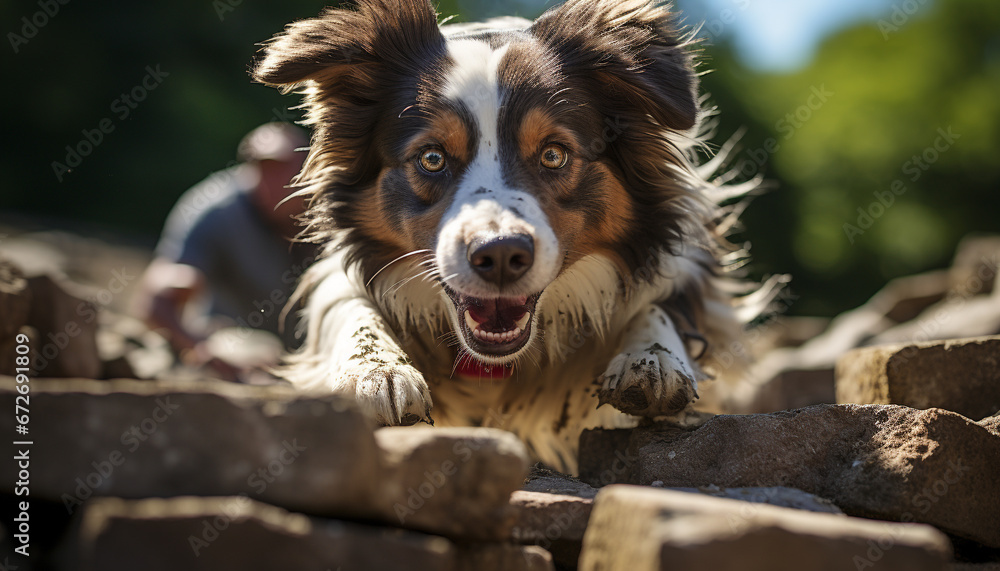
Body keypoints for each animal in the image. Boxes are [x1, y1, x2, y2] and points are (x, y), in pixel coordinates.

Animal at [250, 0, 780, 474]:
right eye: (432, 158)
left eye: (553, 154)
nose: (501, 254)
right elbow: (349, 308)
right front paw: (375, 371)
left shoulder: (682, 258)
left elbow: (660, 306)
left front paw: (654, 360)